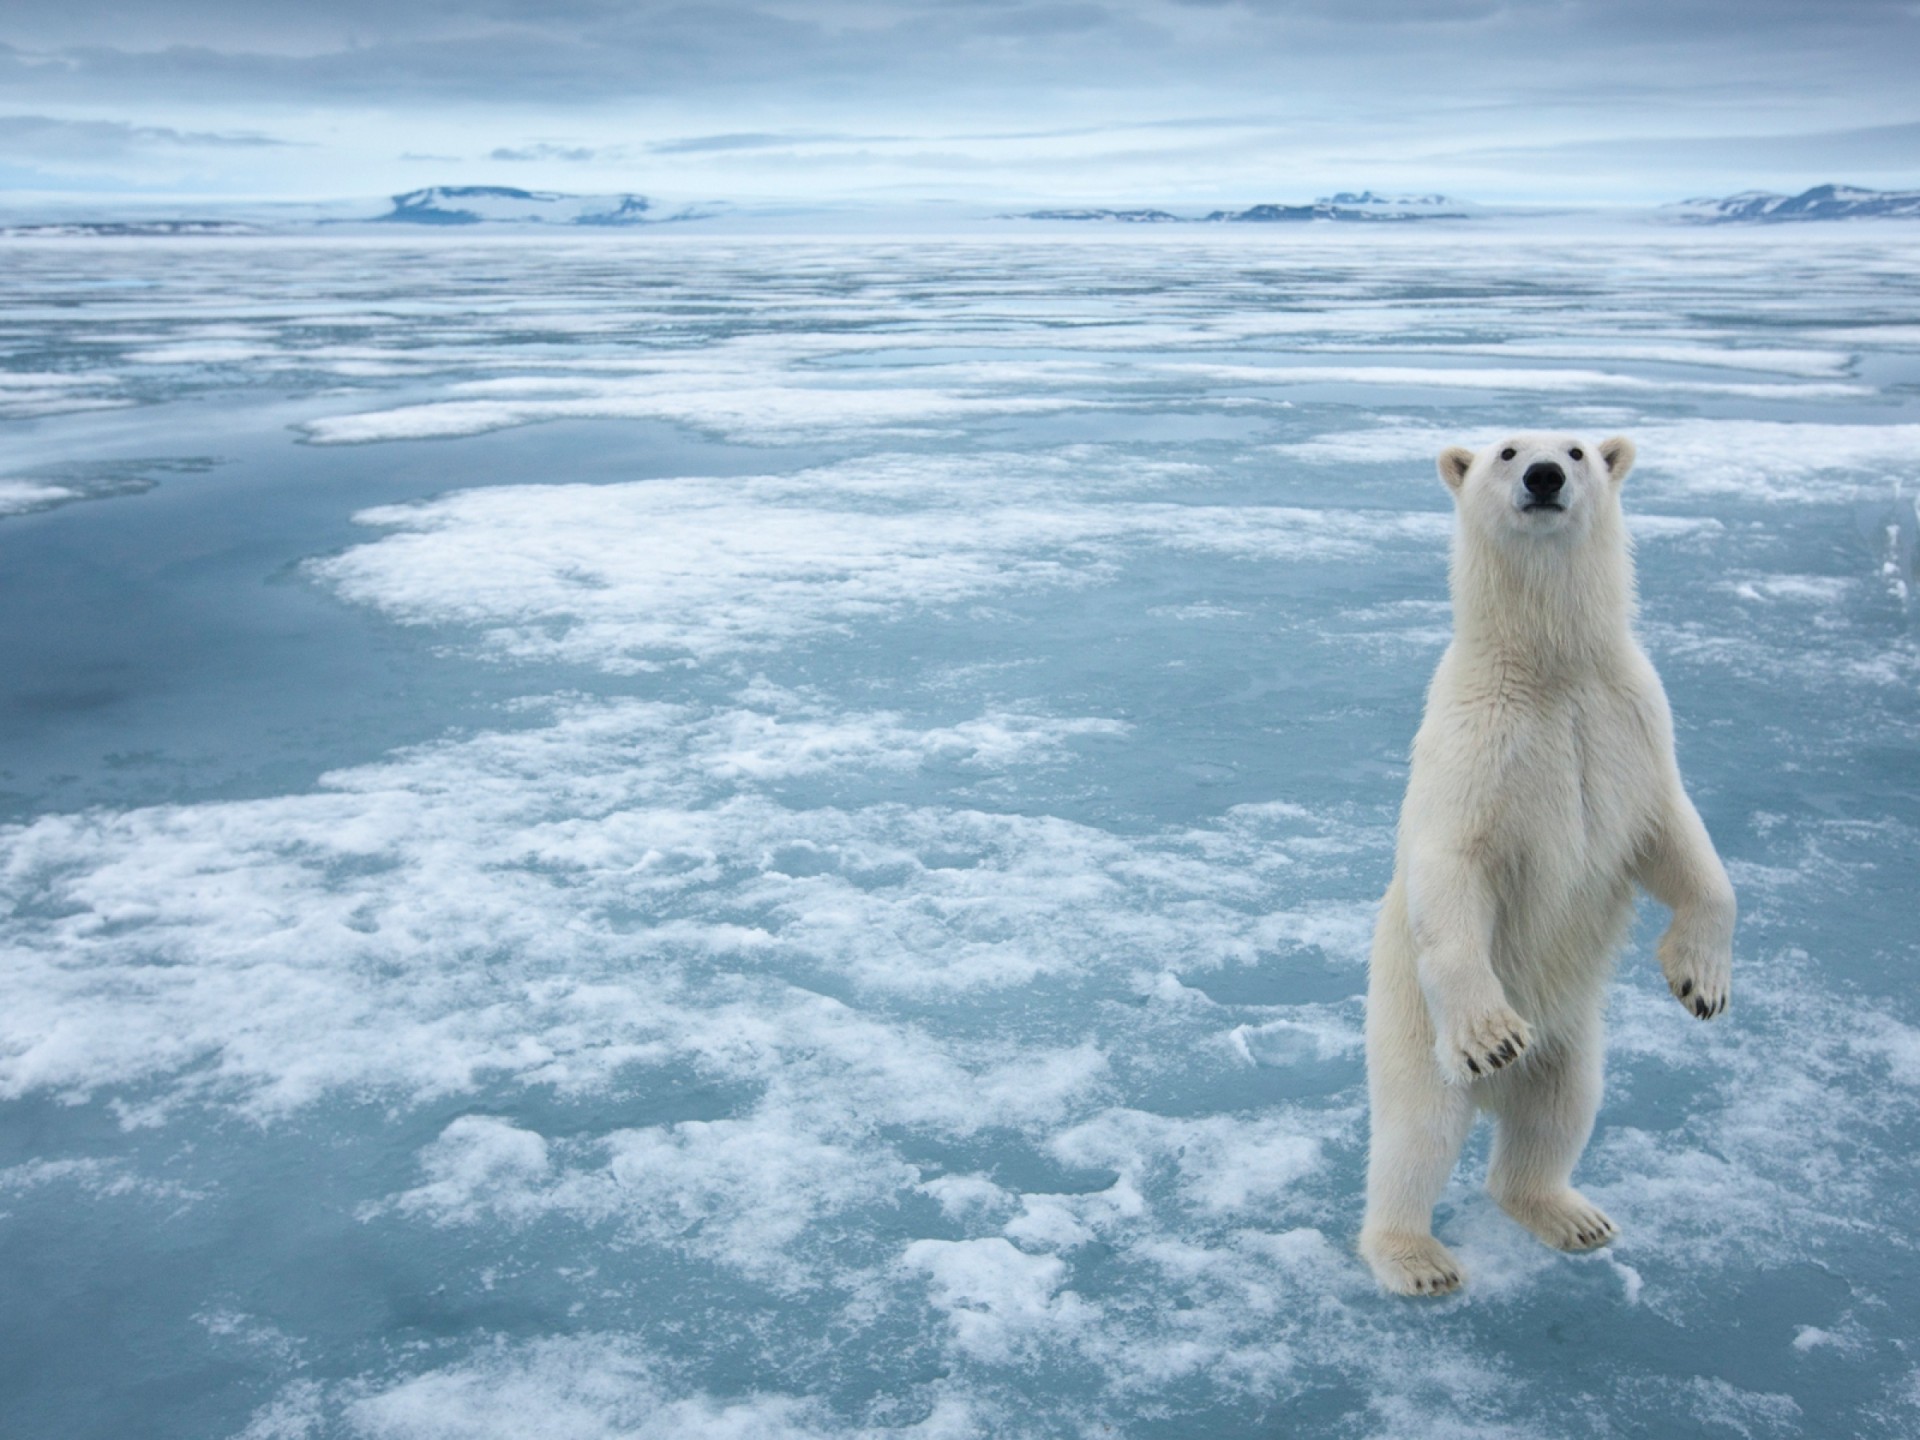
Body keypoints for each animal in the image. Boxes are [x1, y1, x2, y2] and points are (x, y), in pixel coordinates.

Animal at [1357, 433, 1736, 1296]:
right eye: (1505, 450)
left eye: (1577, 448)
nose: (1544, 476)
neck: (1552, 667)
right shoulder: (1476, 743)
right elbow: (1453, 866)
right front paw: (1493, 1034)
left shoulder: (1631, 723)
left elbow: (1678, 842)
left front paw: (1701, 983)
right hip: (1409, 1026)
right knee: (1417, 1134)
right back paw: (1416, 1257)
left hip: (1573, 1038)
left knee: (1560, 1113)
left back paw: (1571, 1214)